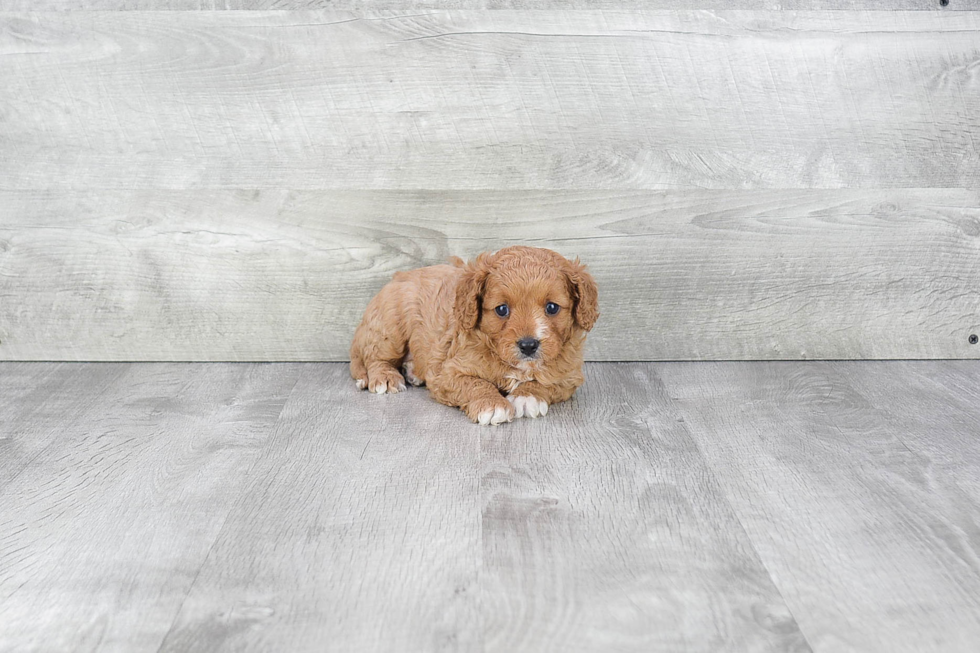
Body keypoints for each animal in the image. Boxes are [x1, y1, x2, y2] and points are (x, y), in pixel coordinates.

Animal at [348, 247, 600, 426]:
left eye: (552, 307)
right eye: (501, 309)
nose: (528, 345)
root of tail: (398, 277)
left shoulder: (569, 375)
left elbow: (547, 381)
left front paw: (527, 396)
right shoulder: (449, 373)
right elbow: (475, 382)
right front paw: (492, 405)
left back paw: (413, 371)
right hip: (390, 328)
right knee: (373, 357)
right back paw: (385, 377)